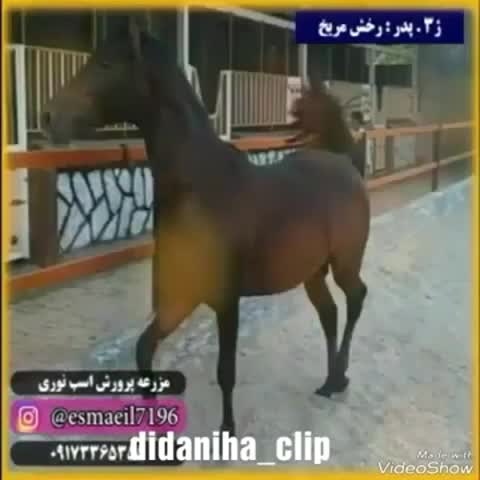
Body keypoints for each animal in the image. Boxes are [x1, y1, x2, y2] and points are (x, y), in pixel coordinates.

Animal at [41, 18, 370, 437]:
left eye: (106, 65)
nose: (49, 117)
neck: (201, 186)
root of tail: (344, 162)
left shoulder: (226, 300)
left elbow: (225, 371)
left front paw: (228, 431)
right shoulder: (181, 296)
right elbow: (144, 350)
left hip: (345, 263)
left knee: (356, 299)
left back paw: (340, 376)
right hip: (312, 272)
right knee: (328, 314)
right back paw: (329, 382)